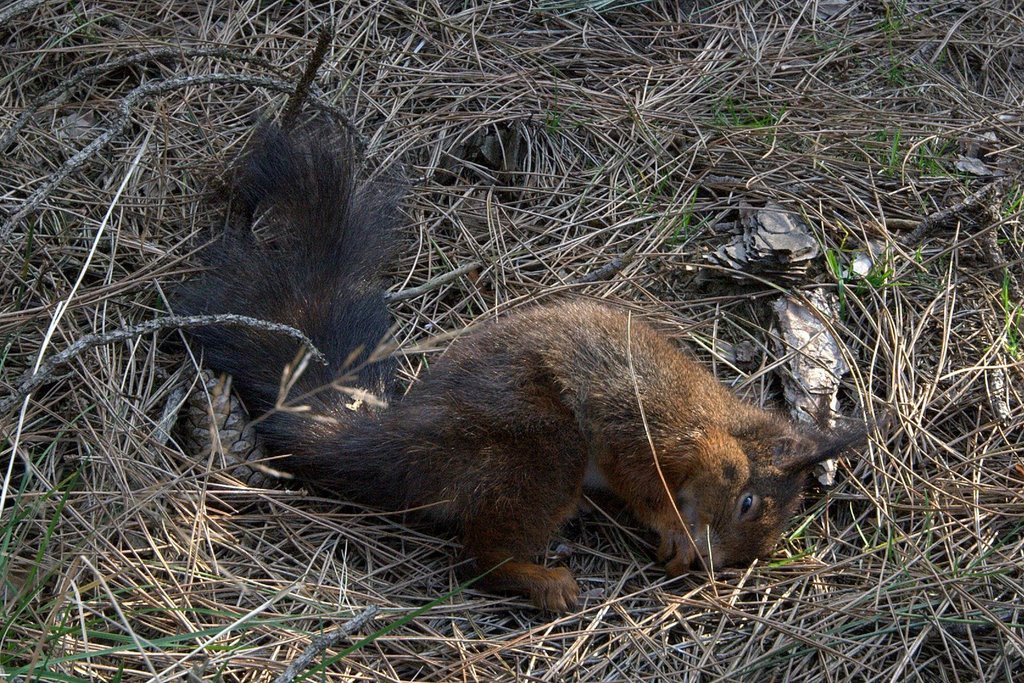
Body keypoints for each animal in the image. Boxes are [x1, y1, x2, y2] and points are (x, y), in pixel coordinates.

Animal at [180, 114, 868, 610]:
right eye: (748, 504)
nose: (711, 564)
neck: (710, 423)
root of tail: (402, 438)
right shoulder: (641, 422)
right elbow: (642, 480)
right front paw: (672, 526)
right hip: (540, 452)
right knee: (479, 556)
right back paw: (542, 581)